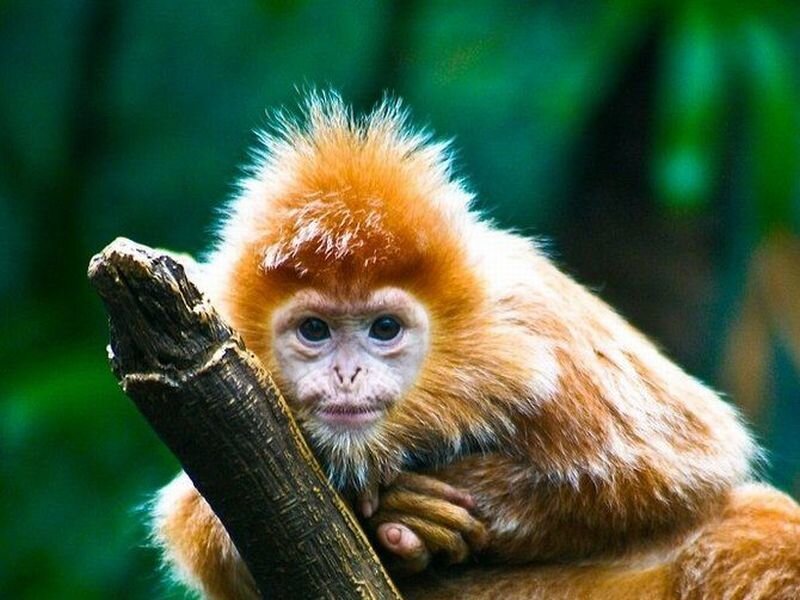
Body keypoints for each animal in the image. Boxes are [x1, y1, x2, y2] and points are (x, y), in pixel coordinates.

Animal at [151, 91, 800, 599]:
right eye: (315, 331)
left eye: (384, 329)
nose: (347, 375)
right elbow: (189, 518)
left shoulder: (538, 319)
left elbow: (688, 459)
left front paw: (421, 506)